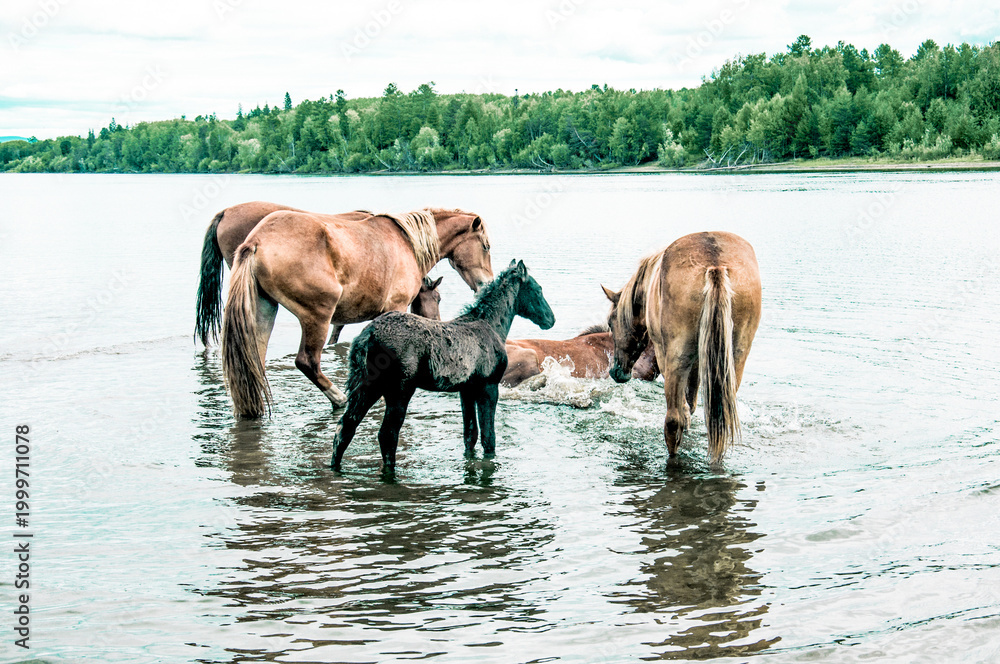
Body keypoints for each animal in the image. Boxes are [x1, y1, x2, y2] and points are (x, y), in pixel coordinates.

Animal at [221, 208, 493, 418]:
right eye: (485, 246)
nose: (486, 283)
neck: (406, 242)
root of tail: (256, 242)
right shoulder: (395, 308)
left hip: (264, 310)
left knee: (254, 362)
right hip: (318, 315)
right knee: (307, 362)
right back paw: (340, 399)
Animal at [331, 260, 555, 472]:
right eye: (538, 289)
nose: (550, 319)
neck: (491, 325)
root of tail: (367, 336)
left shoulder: (467, 390)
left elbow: (470, 435)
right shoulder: (489, 387)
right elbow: (488, 437)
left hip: (368, 387)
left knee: (344, 428)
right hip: (399, 390)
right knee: (387, 434)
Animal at [602, 232, 761, 463]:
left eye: (610, 323)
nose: (616, 372)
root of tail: (715, 265)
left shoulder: (664, 354)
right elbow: (692, 399)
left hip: (676, 359)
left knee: (672, 421)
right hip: (735, 358)